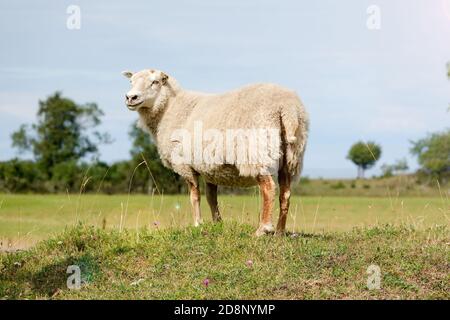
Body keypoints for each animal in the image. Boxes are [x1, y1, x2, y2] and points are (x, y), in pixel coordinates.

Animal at [121, 69, 308, 235]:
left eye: (155, 82)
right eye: (131, 81)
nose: (130, 97)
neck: (170, 108)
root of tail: (287, 107)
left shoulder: (185, 165)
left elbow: (195, 196)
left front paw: (198, 224)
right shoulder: (209, 167)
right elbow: (211, 198)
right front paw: (217, 223)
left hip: (256, 151)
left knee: (269, 188)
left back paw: (263, 229)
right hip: (291, 155)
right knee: (285, 193)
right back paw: (280, 232)